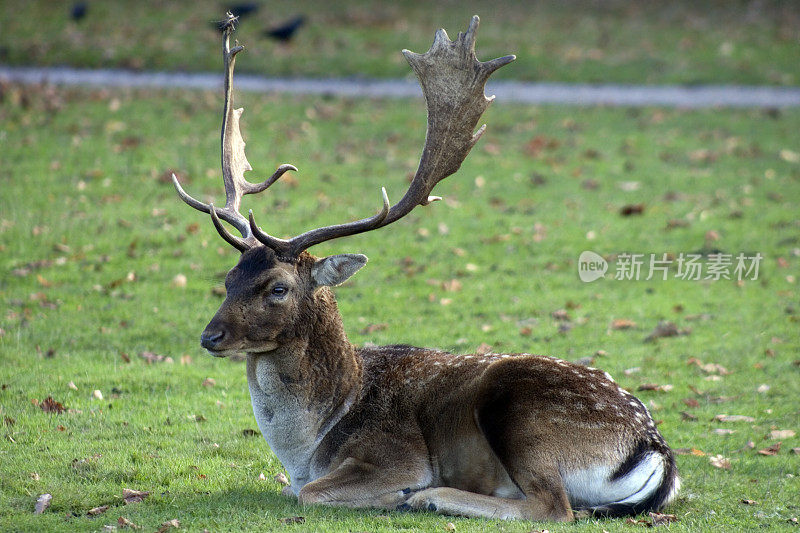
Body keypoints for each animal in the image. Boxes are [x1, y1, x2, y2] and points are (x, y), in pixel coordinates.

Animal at [172, 11, 680, 520]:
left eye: (277, 287)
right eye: (228, 279)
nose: (210, 336)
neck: (308, 447)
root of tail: (653, 448)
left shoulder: (395, 453)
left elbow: (309, 492)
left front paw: (395, 494)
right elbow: (288, 488)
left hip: (520, 412)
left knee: (552, 505)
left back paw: (428, 497)